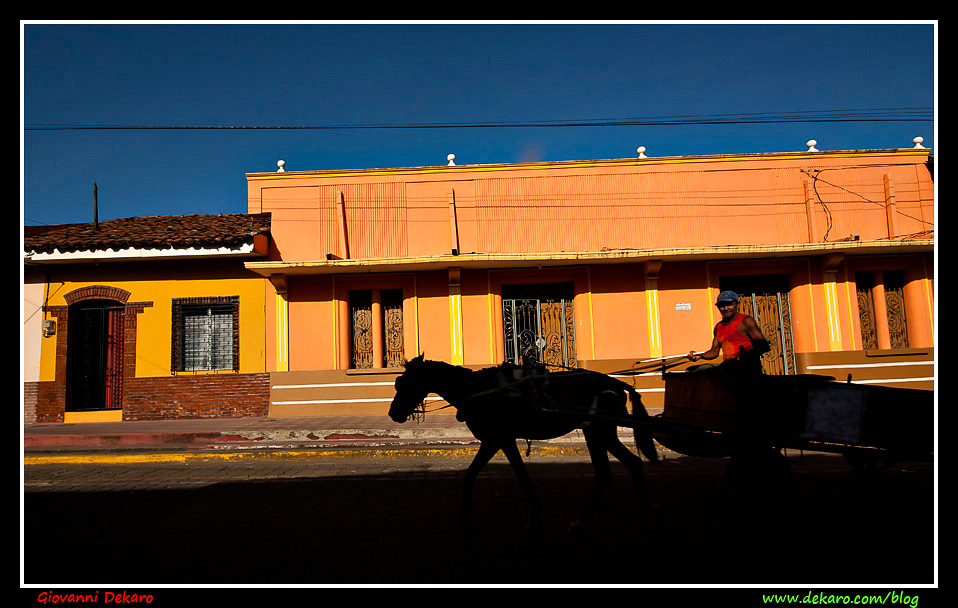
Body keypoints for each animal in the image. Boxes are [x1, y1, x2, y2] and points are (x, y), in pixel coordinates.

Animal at [390, 354, 660, 528]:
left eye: (403, 383)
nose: (393, 413)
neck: (478, 390)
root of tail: (614, 382)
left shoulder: (497, 438)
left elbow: (508, 475)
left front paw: (465, 517)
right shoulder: (500, 440)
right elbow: (492, 474)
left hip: (601, 431)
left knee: (617, 468)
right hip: (596, 432)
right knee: (621, 467)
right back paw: (625, 510)